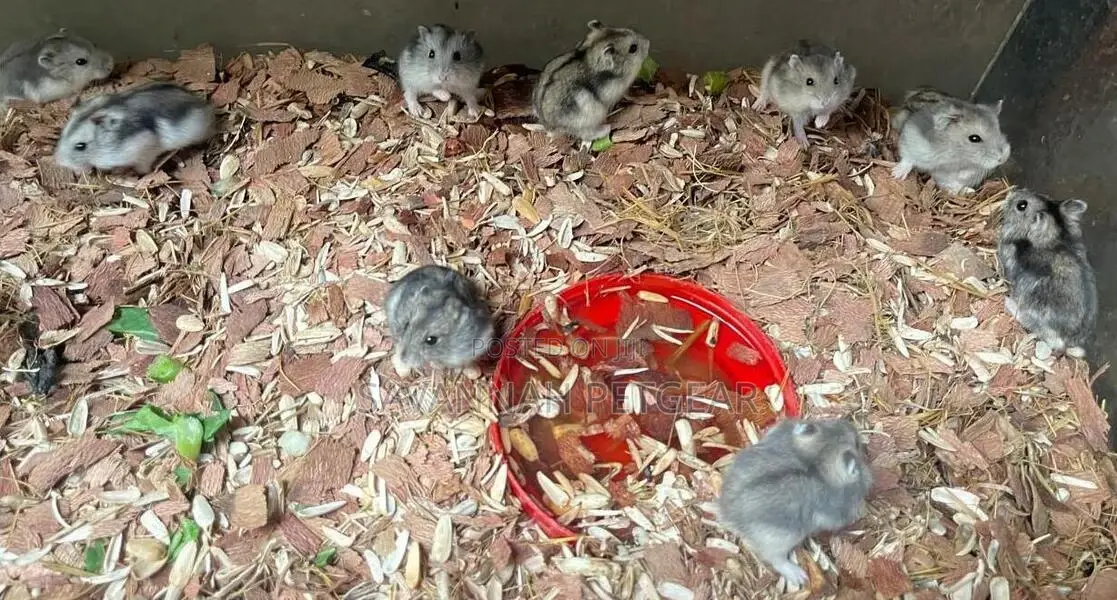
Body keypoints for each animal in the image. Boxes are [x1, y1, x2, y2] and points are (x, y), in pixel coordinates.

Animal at [53, 82, 216, 175]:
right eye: (63, 133)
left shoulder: (143, 152)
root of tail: (205, 104)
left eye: (80, 146)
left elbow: (141, 168)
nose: (58, 161)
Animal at [532, 20, 650, 148]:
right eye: (633, 48)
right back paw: (607, 128)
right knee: (586, 134)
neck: (589, 57)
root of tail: (548, 127)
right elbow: (626, 95)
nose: (648, 41)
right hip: (589, 117)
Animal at [717, 418, 872, 588]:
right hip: (782, 539)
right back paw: (800, 576)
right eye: (856, 444)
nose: (850, 425)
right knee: (774, 558)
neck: (818, 457)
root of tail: (727, 515)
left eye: (829, 422)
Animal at [996, 189, 1097, 358]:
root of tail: (1067, 342)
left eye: (1021, 205)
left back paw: (1007, 301)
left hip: (1033, 311)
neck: (1054, 238)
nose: (1012, 192)